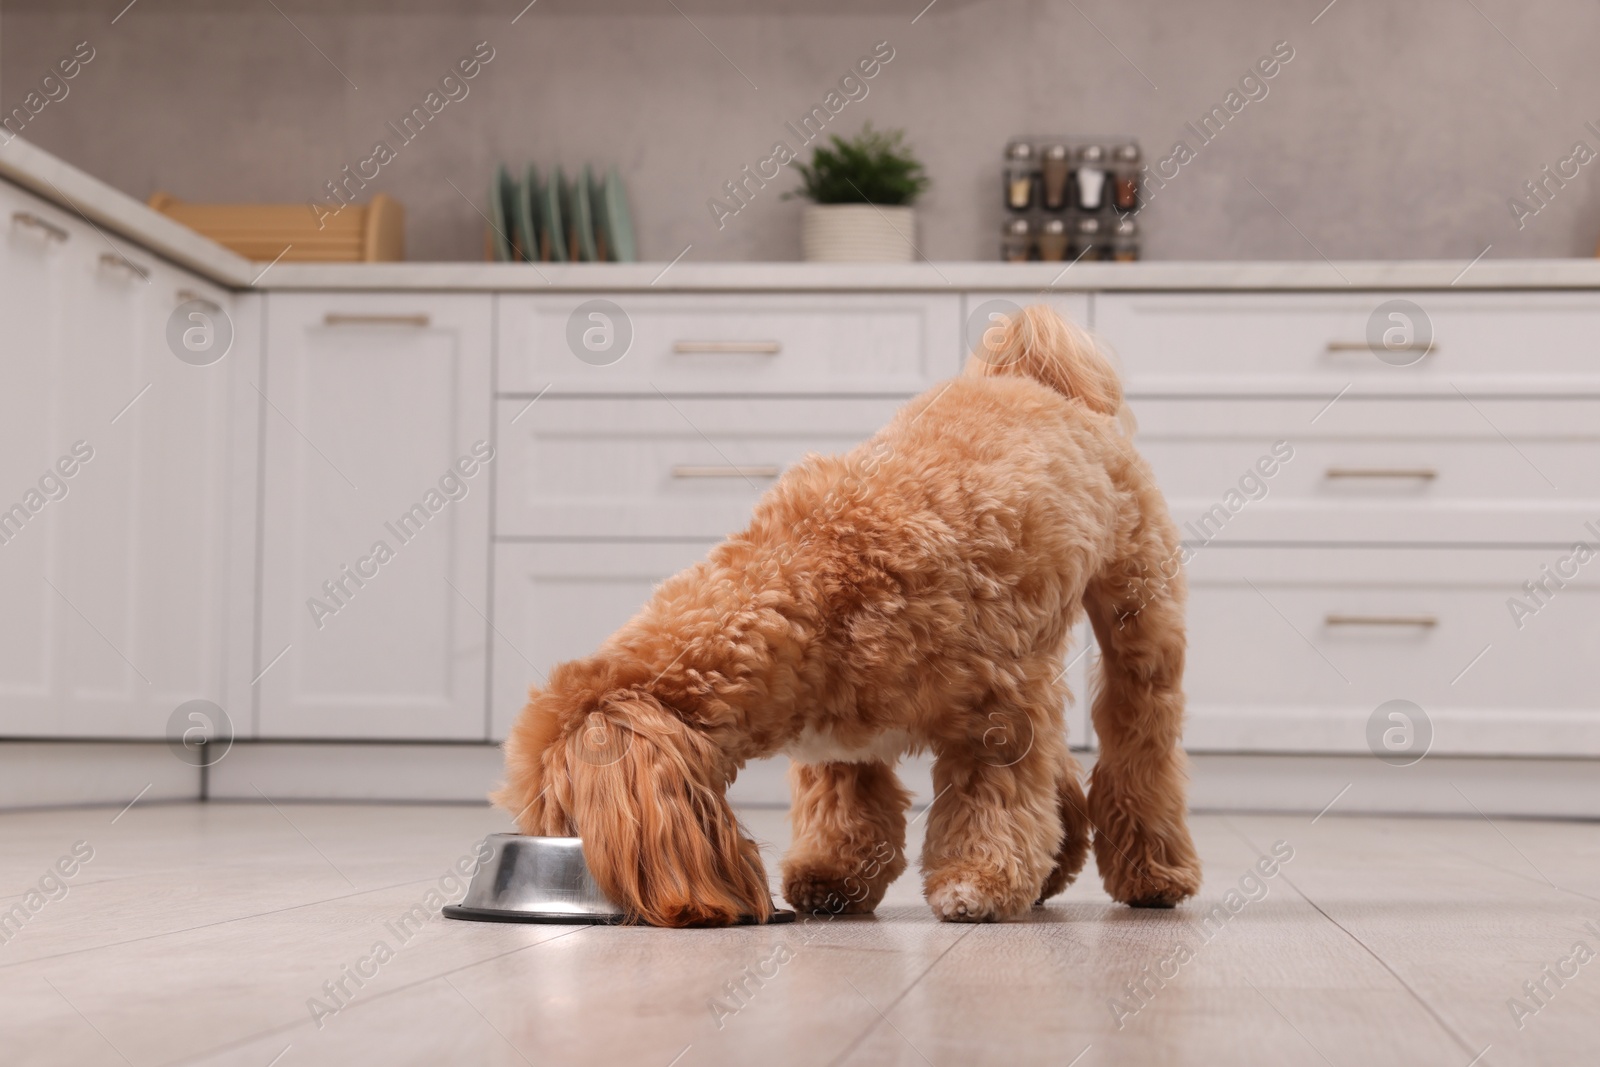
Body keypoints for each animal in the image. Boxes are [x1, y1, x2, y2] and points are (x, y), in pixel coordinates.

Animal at [496, 302, 1203, 927]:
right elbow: (847, 808)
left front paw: (978, 879)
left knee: (1139, 744)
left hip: (1137, 622)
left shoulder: (996, 716)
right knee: (1060, 772)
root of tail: (1033, 383)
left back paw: (1154, 871)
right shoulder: (840, 741)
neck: (810, 576)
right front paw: (833, 877)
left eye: (565, 820)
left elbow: (991, 800)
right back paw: (1056, 867)